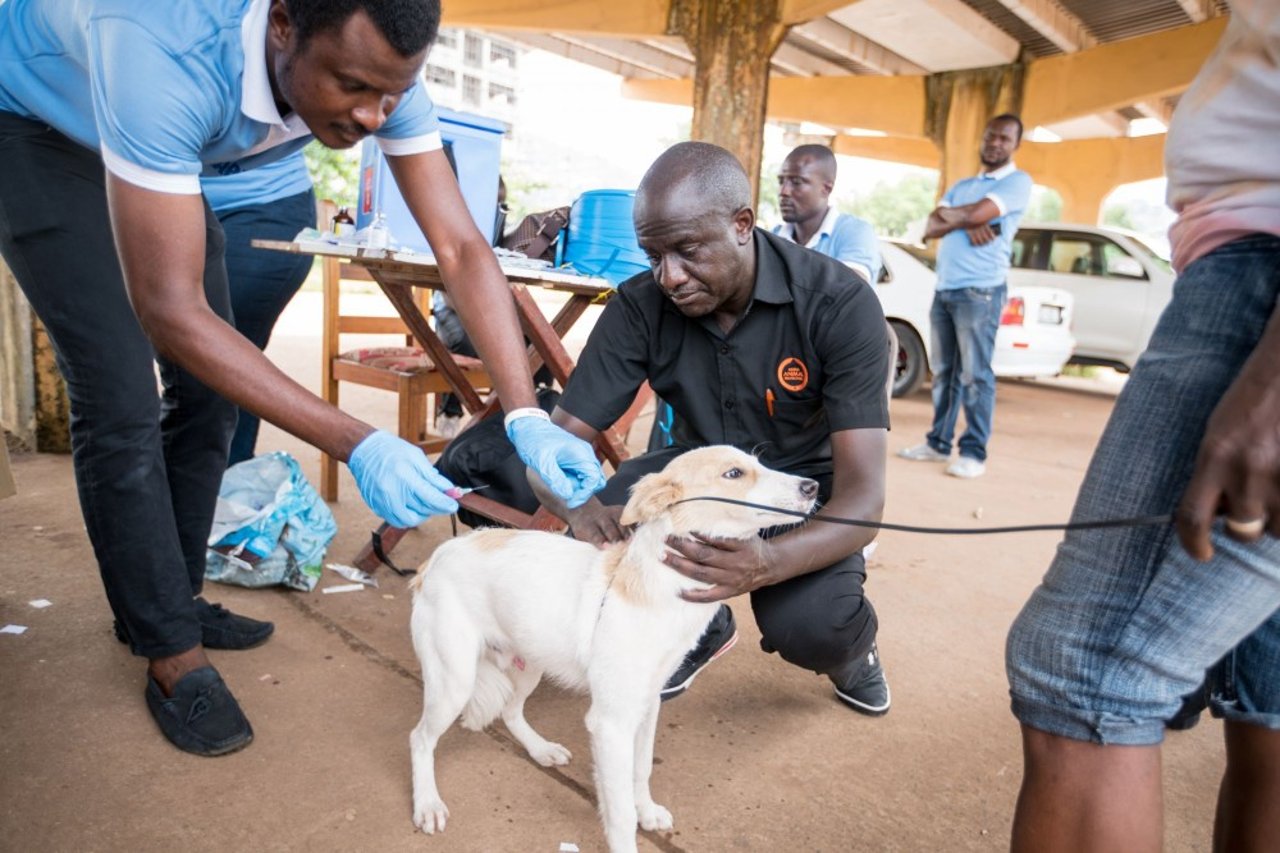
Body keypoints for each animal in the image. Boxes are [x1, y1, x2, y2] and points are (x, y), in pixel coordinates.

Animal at [404, 445, 814, 850]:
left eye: (760, 463)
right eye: (734, 474)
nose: (811, 486)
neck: (663, 592)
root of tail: (437, 557)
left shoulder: (648, 706)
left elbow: (641, 769)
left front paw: (647, 811)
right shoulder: (611, 724)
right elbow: (620, 814)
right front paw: (629, 831)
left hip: (530, 663)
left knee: (510, 711)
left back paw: (540, 749)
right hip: (455, 681)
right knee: (420, 738)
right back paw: (427, 803)